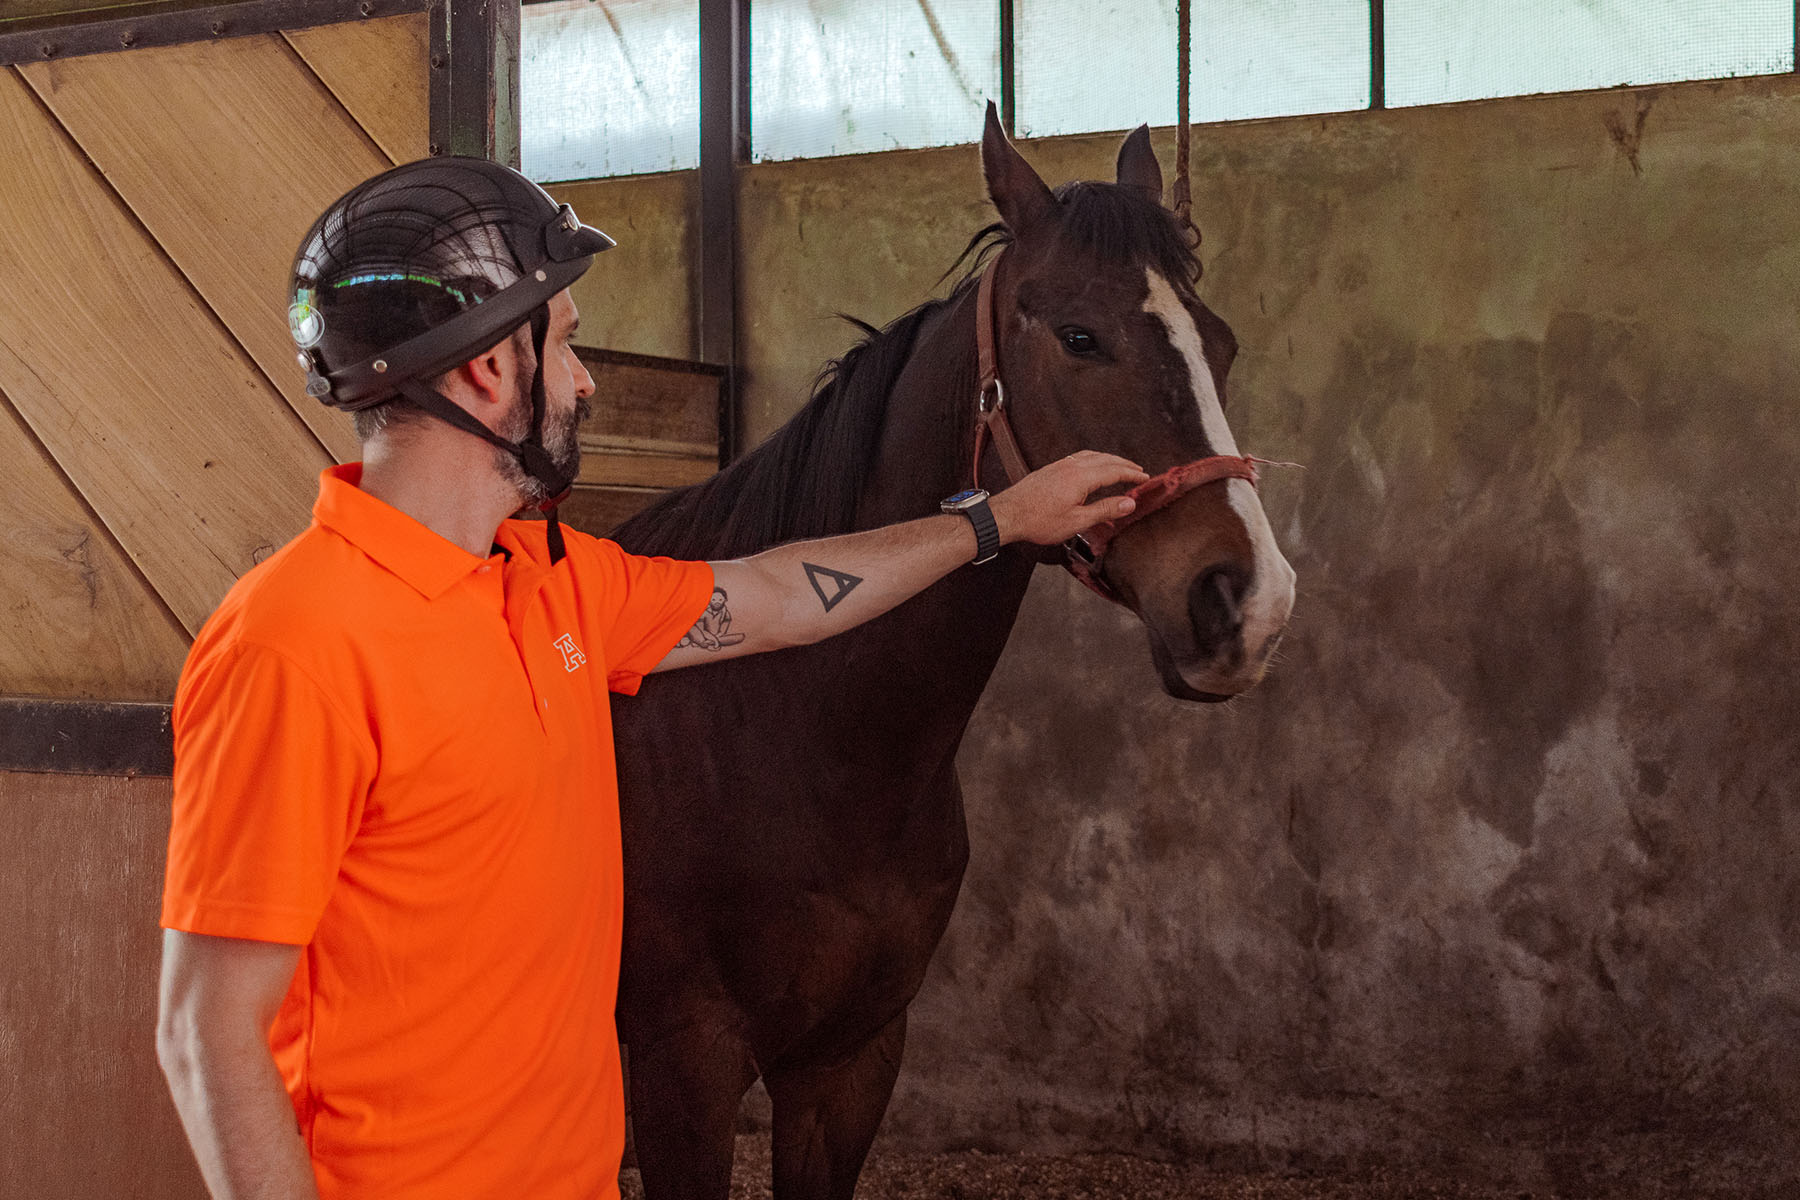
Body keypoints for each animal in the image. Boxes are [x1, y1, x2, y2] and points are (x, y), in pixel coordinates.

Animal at [612, 107, 1288, 1194]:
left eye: (1218, 343)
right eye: (1080, 337)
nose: (1249, 600)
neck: (789, 727)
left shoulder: (849, 1063)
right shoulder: (684, 1066)